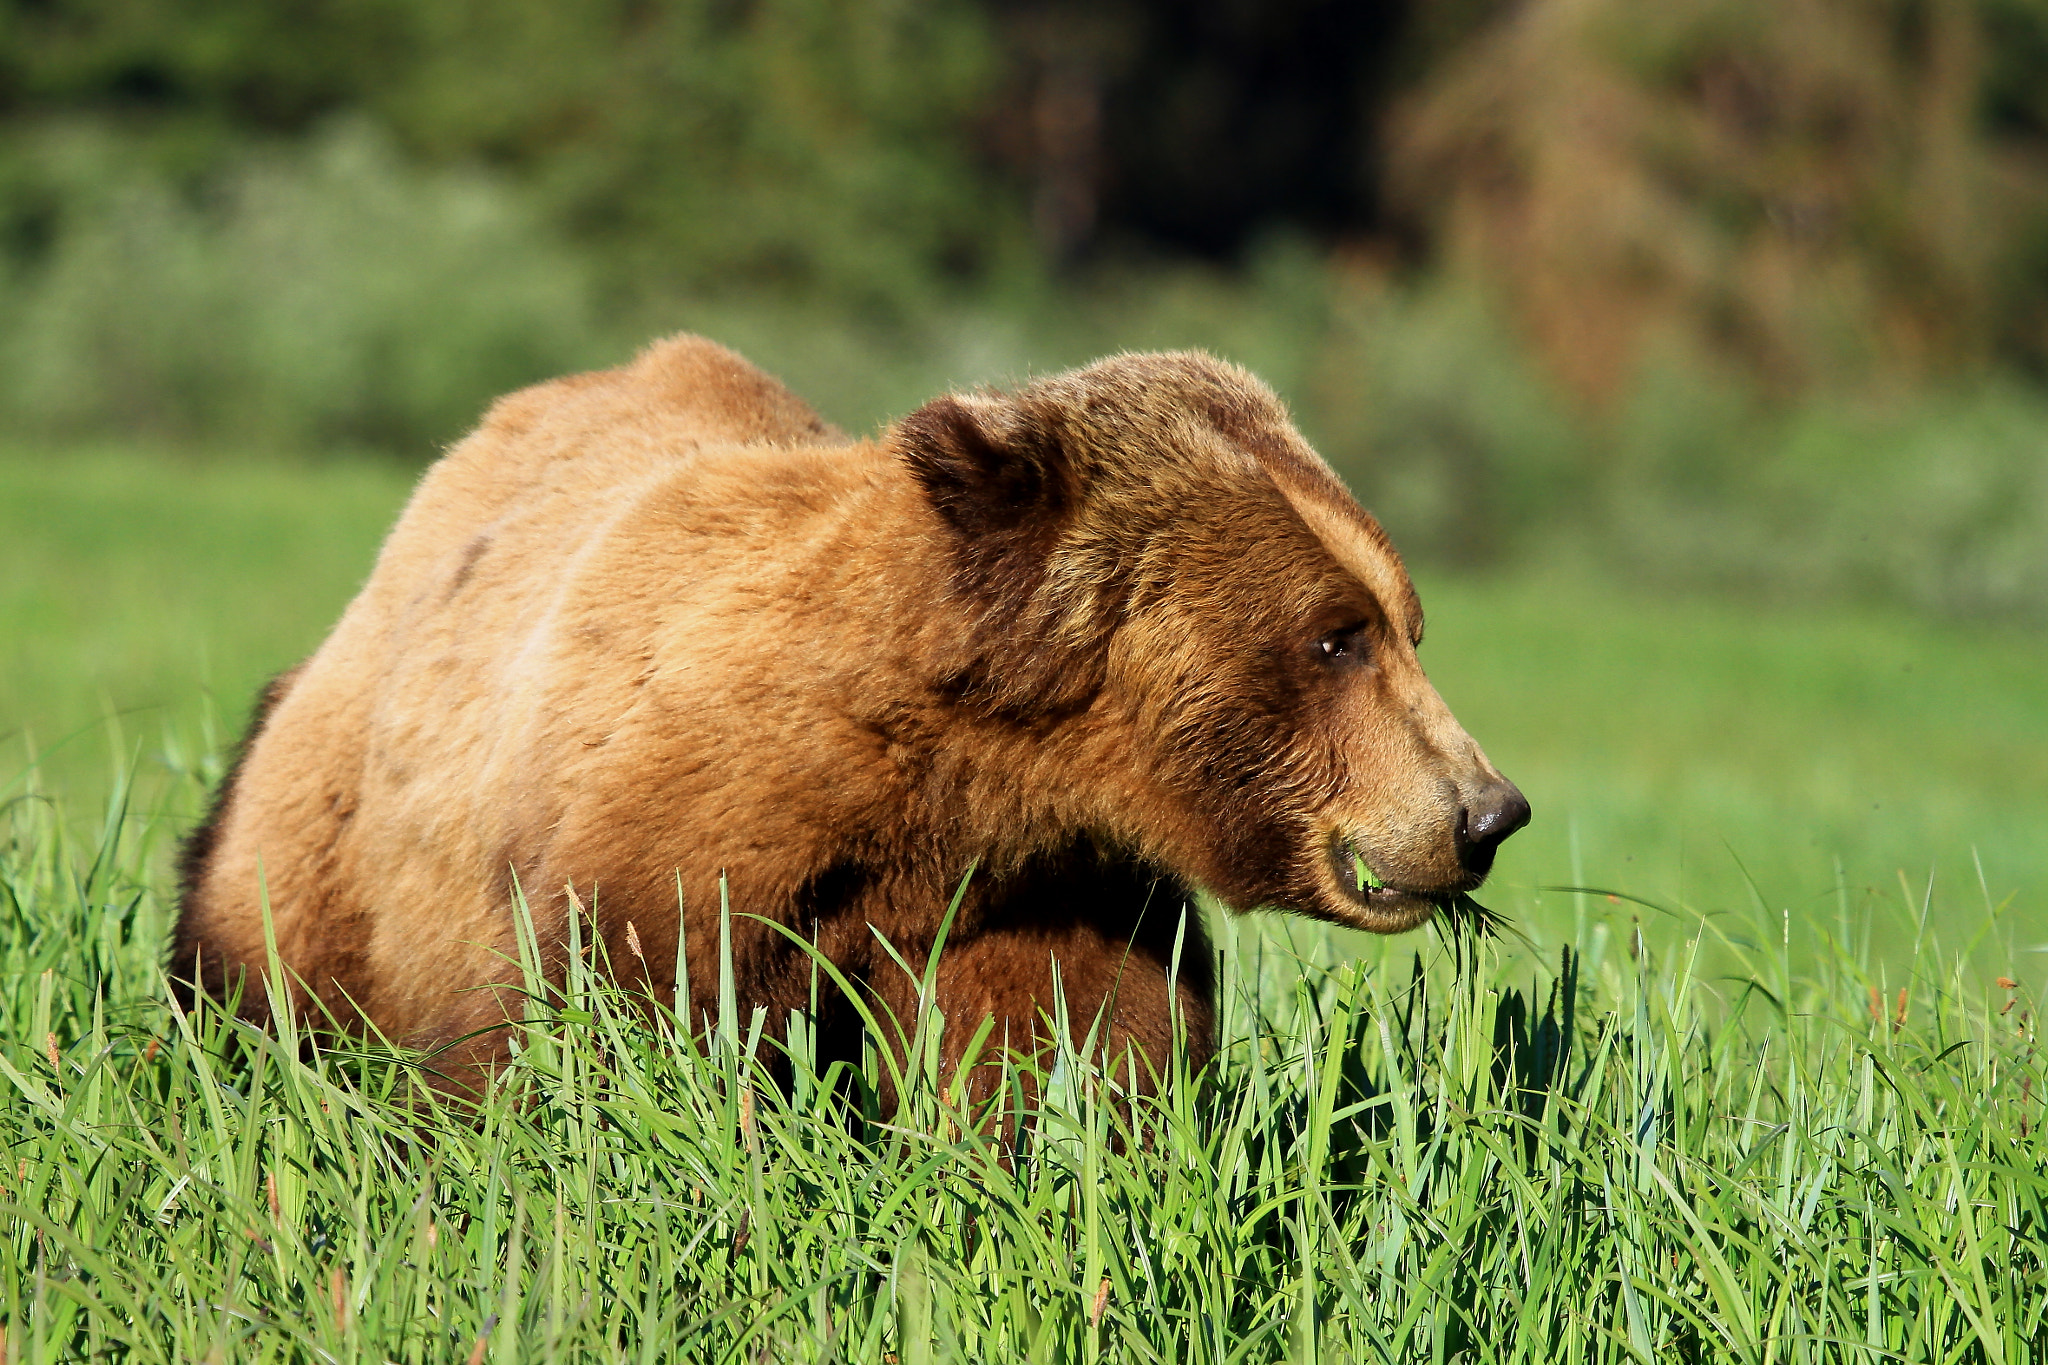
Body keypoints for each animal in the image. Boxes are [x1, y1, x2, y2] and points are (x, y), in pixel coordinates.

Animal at [172, 335, 1523, 1096]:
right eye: (1334, 635)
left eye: (1402, 618)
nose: (1484, 812)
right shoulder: (678, 853)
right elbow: (628, 1054)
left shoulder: (1042, 885)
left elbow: (1067, 1063)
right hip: (329, 857)